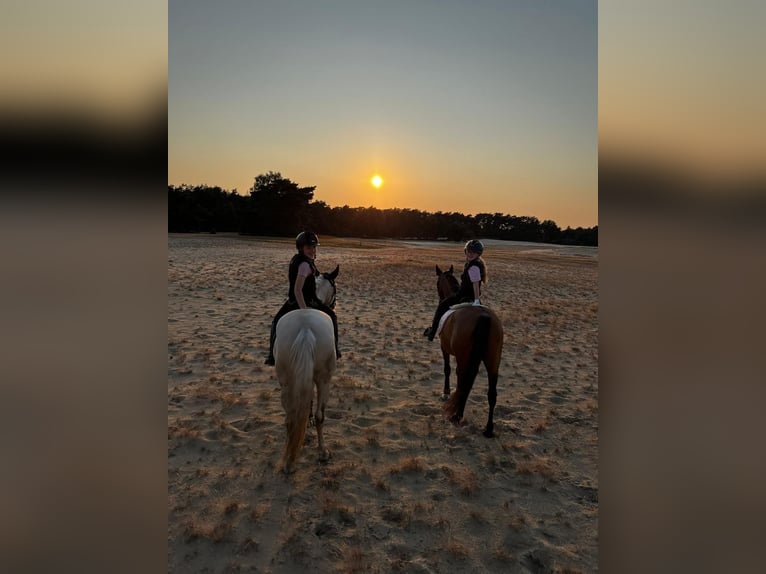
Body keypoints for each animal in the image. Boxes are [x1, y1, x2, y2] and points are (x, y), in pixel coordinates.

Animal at [274, 266, 338, 472]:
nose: (335, 304)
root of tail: (305, 329)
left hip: (286, 381)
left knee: (290, 417)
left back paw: (288, 461)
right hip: (325, 379)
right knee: (320, 416)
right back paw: (323, 452)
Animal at [432, 268, 504, 438]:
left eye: (437, 283)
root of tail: (484, 317)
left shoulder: (444, 347)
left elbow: (447, 369)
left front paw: (446, 392)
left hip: (464, 359)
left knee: (463, 385)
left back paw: (457, 416)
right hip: (493, 361)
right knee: (491, 393)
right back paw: (488, 429)